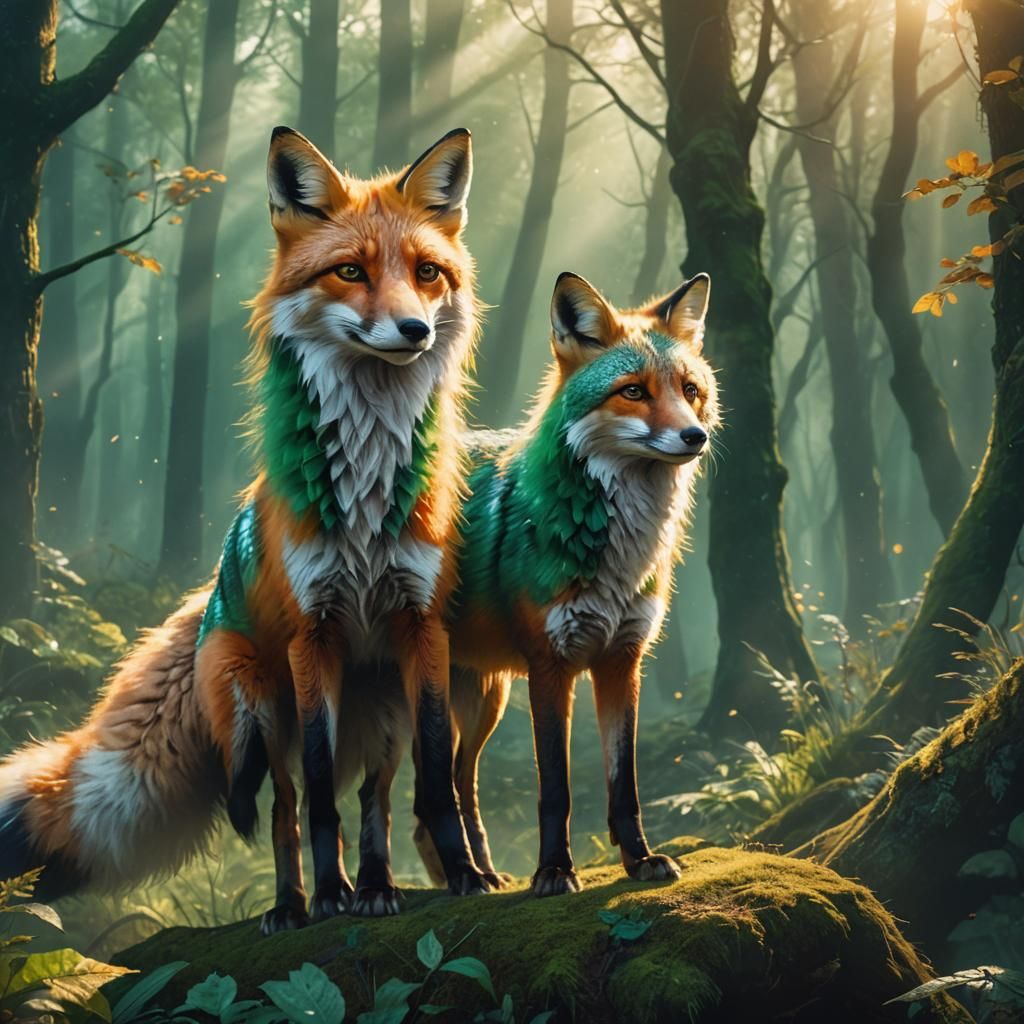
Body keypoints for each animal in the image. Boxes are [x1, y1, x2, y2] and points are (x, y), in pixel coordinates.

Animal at [0, 126, 491, 930]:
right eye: (350, 271)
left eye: (427, 273)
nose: (414, 329)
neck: (364, 492)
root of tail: (207, 603)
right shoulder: (313, 635)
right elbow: (317, 800)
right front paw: (328, 896)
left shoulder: (422, 629)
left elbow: (433, 786)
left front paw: (464, 877)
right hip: (259, 715)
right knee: (285, 810)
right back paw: (296, 903)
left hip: (380, 711)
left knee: (376, 798)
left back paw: (378, 887)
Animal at [412, 271, 717, 896]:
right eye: (633, 391)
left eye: (690, 389)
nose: (695, 436)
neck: (618, 555)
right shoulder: (549, 666)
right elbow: (556, 788)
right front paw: (554, 870)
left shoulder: (622, 660)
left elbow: (624, 786)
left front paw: (639, 861)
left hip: (483, 703)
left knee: (453, 788)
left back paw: (478, 873)